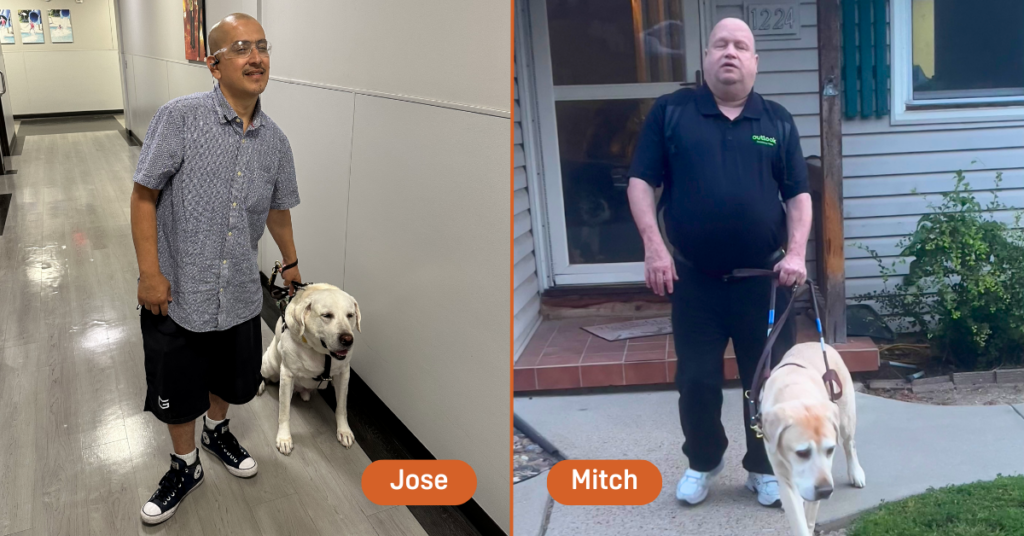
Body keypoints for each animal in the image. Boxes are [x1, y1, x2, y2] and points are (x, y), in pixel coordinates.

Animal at [258, 282, 362, 455]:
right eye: (326, 315)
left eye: (350, 315)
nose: (348, 339)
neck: (324, 354)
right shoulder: (287, 375)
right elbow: (284, 412)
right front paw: (284, 438)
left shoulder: (343, 374)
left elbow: (341, 406)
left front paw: (344, 431)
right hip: (269, 363)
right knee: (261, 371)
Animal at [761, 344, 864, 536]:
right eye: (802, 453)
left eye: (830, 450)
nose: (825, 491)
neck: (796, 394)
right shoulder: (785, 477)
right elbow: (798, 520)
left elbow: (808, 519)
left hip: (845, 417)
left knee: (850, 444)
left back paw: (856, 473)